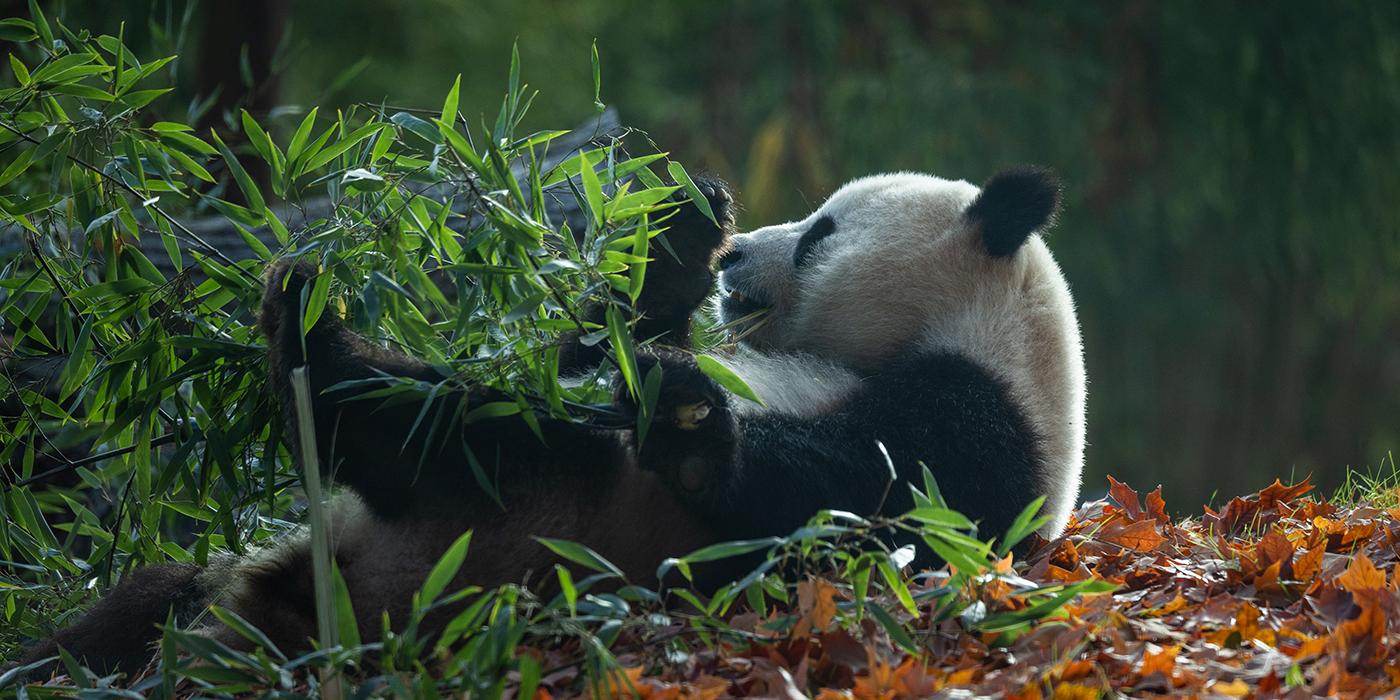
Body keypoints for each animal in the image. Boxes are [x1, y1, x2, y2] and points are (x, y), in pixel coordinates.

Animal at [10, 165, 1080, 677]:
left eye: (820, 234)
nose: (740, 263)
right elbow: (598, 341)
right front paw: (683, 239)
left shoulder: (983, 428)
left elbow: (860, 494)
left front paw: (693, 425)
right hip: (275, 560)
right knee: (134, 606)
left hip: (538, 519)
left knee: (470, 432)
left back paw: (322, 344)